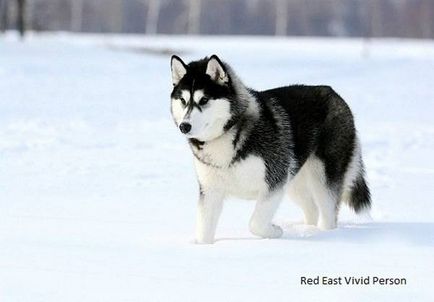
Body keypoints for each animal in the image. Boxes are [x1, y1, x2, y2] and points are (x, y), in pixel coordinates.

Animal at [169, 54, 370, 243]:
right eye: (183, 100)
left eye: (204, 100)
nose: (184, 126)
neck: (228, 133)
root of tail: (333, 93)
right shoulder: (210, 190)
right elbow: (204, 232)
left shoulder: (274, 181)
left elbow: (255, 223)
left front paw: (274, 231)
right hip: (294, 179)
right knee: (312, 208)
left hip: (321, 178)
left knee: (327, 213)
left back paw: (326, 234)